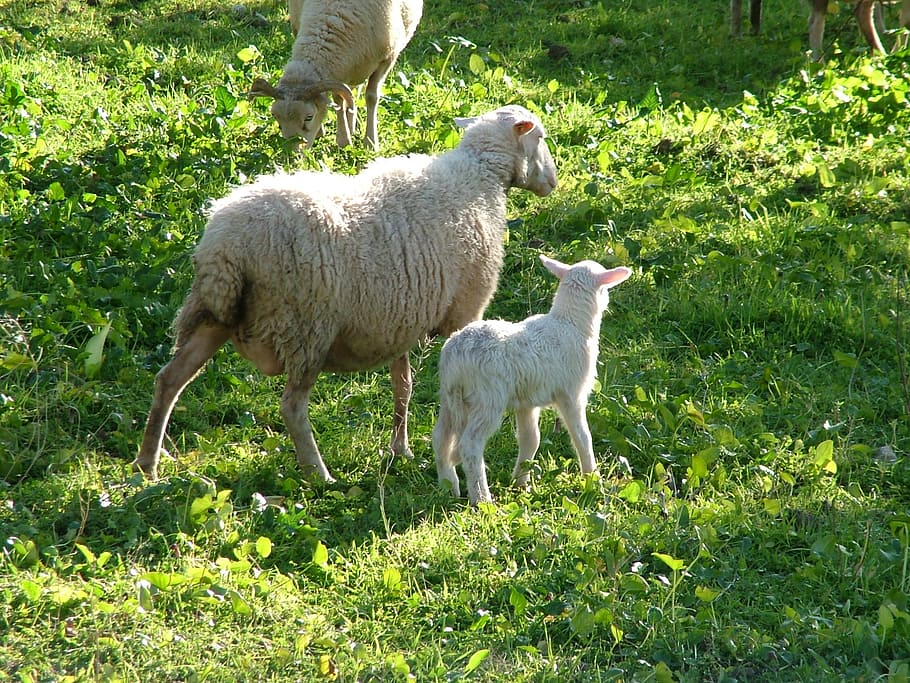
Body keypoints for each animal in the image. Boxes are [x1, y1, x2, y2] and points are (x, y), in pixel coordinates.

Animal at [133, 105, 558, 482]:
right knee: (292, 407)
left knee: (169, 379)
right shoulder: (464, 313)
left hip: (211, 314)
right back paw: (319, 474)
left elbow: (402, 386)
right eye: (540, 137)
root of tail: (226, 246)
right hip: (305, 328)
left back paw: (147, 463)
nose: (553, 183)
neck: (478, 176)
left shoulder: (401, 316)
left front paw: (400, 449)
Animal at [250, 0, 423, 150]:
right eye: (275, 117)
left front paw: (370, 142)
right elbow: (338, 100)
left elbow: (371, 97)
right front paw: (343, 139)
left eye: (309, 117)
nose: (291, 153)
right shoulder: (339, 71)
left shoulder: (387, 59)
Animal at [433, 255, 632, 505]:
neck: (570, 322)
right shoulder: (571, 394)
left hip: (450, 397)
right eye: (605, 289)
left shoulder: (526, 402)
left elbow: (530, 439)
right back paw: (482, 498)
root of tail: (456, 355)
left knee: (440, 438)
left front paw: (521, 483)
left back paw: (447, 486)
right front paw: (592, 478)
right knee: (470, 445)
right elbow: (582, 437)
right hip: (487, 398)